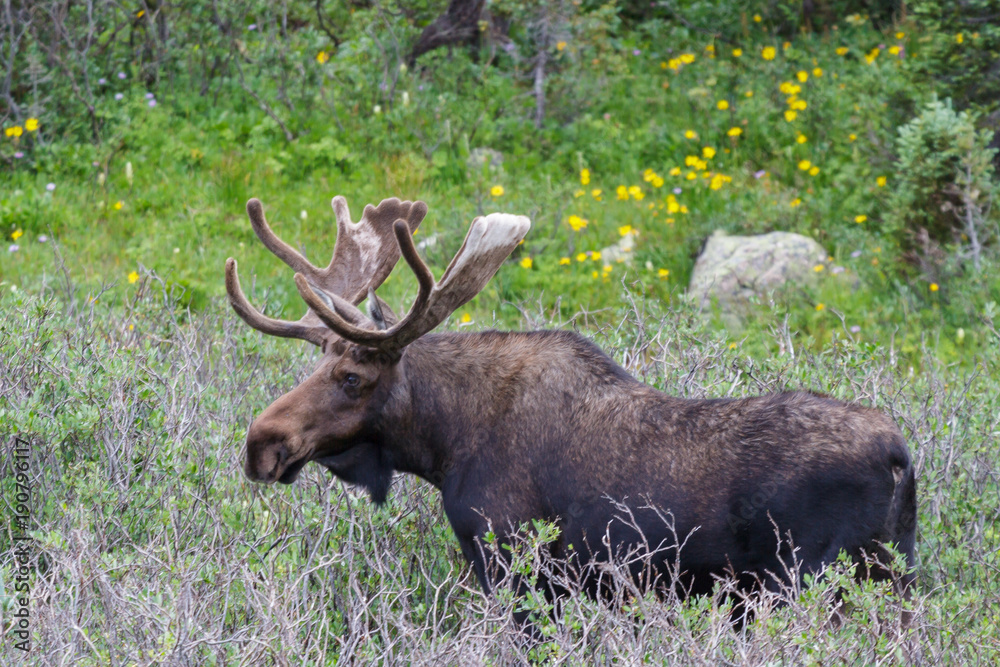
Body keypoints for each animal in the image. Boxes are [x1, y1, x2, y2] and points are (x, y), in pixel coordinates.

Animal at [226, 194, 917, 629]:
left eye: (352, 377)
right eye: (316, 364)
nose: (261, 442)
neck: (444, 444)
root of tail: (899, 456)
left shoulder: (516, 565)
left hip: (812, 583)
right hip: (894, 579)